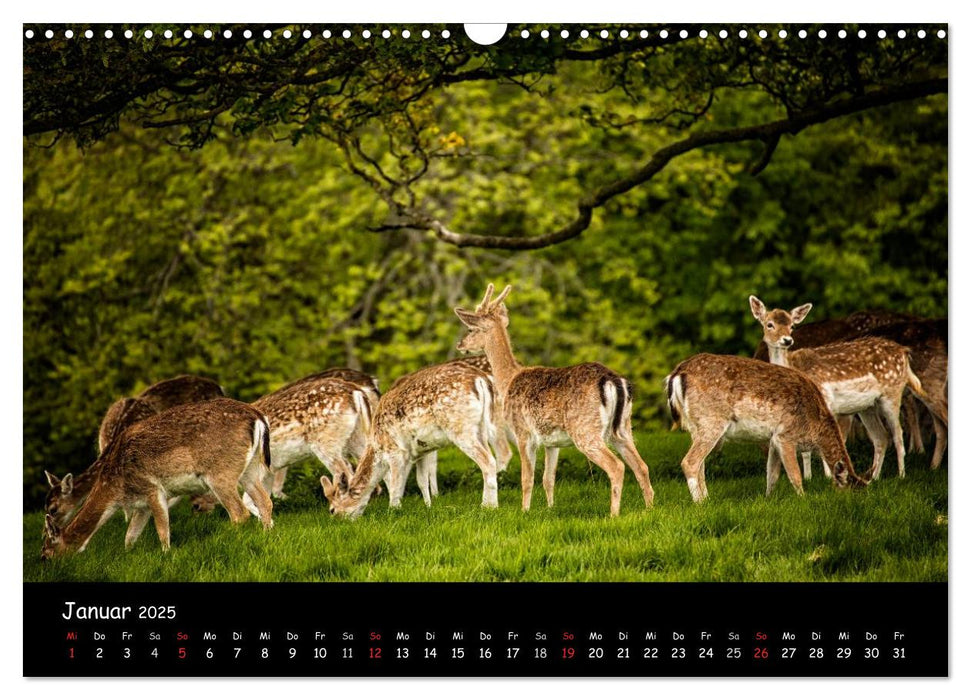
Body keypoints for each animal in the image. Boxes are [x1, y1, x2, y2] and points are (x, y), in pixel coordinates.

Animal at [39, 400, 272, 556]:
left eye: (46, 554)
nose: (44, 561)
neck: (116, 489)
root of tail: (258, 417)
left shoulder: (151, 487)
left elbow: (162, 529)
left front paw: (166, 555)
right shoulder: (140, 505)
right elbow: (130, 536)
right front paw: (128, 556)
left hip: (220, 473)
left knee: (239, 512)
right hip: (249, 468)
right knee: (264, 501)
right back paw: (268, 534)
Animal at [322, 358, 502, 516]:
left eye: (332, 510)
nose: (339, 519)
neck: (376, 445)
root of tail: (481, 379)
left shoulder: (395, 451)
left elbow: (395, 485)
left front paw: (393, 510)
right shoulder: (421, 451)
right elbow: (421, 481)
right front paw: (428, 506)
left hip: (460, 428)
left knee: (488, 461)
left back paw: (488, 506)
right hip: (481, 428)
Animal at [450, 282, 652, 516]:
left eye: (471, 329)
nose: (460, 344)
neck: (508, 380)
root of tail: (613, 380)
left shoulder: (523, 432)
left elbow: (527, 478)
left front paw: (524, 511)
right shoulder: (552, 441)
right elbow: (548, 479)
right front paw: (550, 508)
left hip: (585, 429)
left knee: (617, 466)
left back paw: (613, 514)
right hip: (623, 427)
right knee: (642, 466)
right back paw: (650, 508)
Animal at [664, 356, 860, 498]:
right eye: (848, 492)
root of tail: (676, 375)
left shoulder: (773, 439)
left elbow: (771, 475)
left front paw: (768, 498)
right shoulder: (785, 435)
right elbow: (795, 475)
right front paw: (804, 499)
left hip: (695, 426)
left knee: (701, 464)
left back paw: (707, 498)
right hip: (712, 422)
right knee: (690, 461)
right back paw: (700, 503)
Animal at [752, 296, 928, 482]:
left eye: (792, 326)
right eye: (769, 324)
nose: (787, 340)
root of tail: (904, 352)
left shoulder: (825, 401)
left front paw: (828, 477)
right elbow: (805, 448)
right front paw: (808, 477)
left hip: (892, 393)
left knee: (898, 433)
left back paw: (901, 475)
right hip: (867, 406)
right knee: (881, 437)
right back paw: (873, 477)